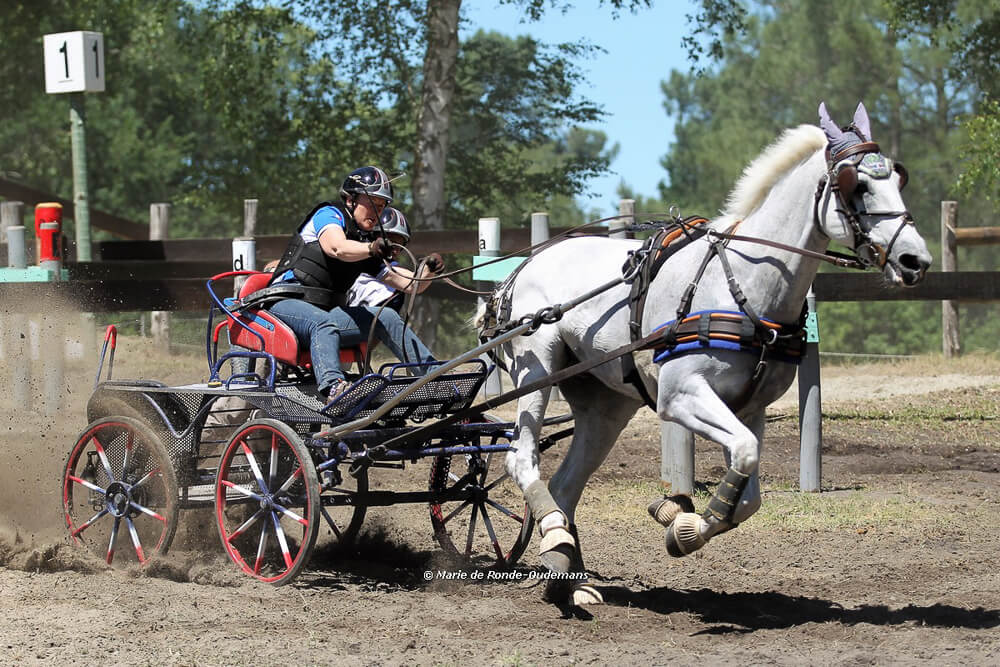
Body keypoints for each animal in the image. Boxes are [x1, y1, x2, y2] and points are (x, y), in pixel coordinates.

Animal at [481, 102, 932, 606]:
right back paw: (557, 543)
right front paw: (683, 522)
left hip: (606, 406)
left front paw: (681, 519)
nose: (915, 260)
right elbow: (745, 453)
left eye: (897, 178)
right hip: (535, 368)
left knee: (565, 484)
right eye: (858, 184)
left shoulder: (752, 409)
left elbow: (749, 489)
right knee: (522, 459)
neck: (744, 285)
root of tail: (519, 271)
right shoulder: (680, 396)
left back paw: (566, 575)